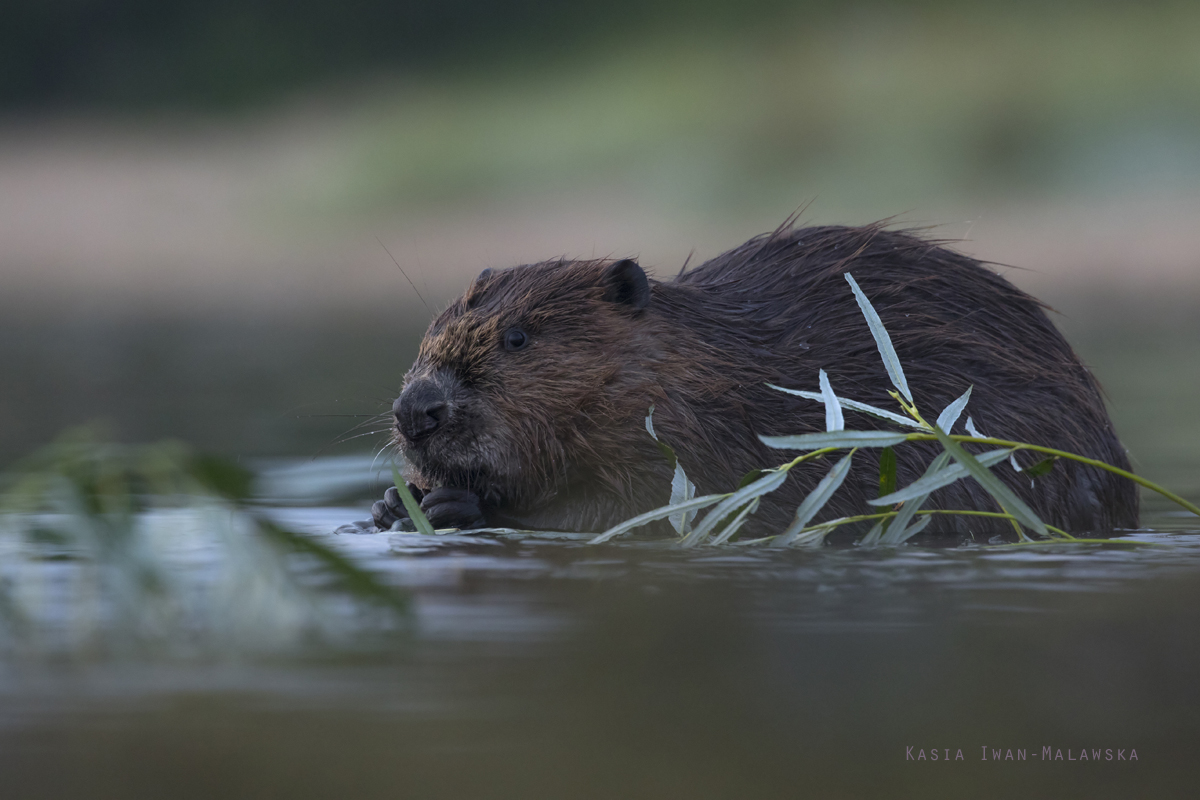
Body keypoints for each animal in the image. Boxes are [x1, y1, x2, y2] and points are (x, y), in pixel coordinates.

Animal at [369, 221, 1137, 542]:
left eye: (519, 337)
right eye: (433, 327)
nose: (417, 411)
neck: (697, 363)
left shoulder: (689, 437)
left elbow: (632, 510)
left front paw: (456, 506)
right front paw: (390, 503)